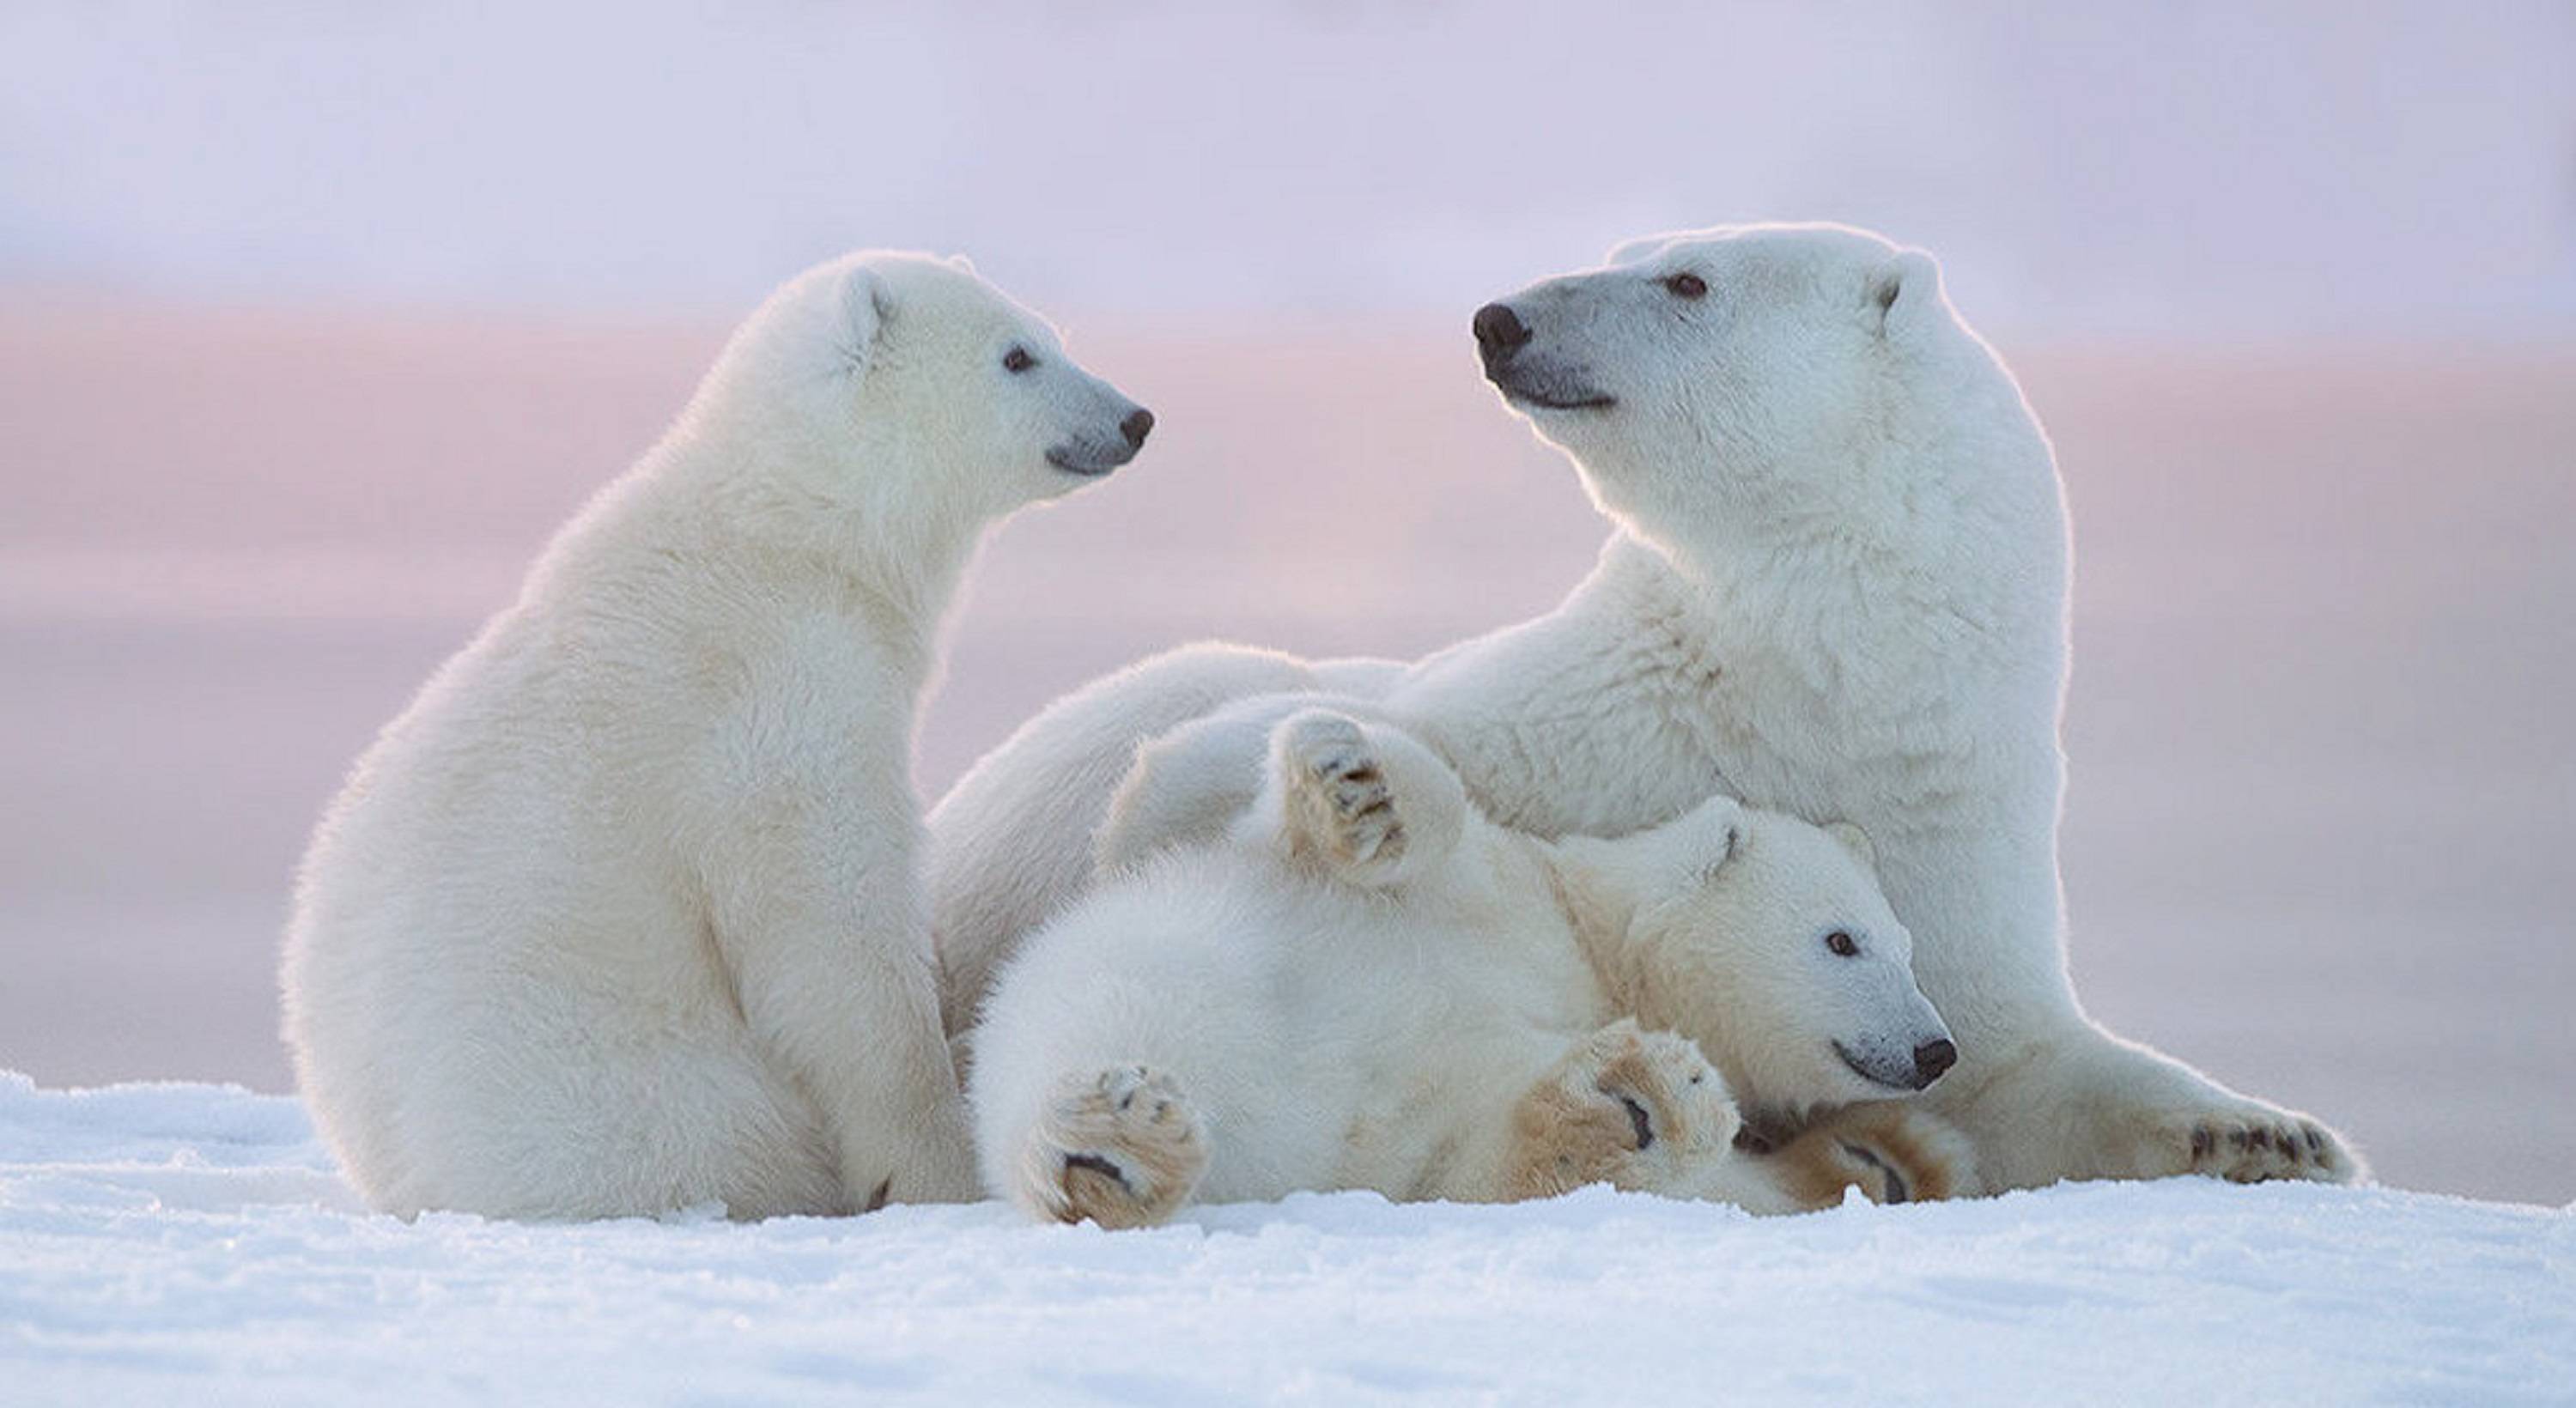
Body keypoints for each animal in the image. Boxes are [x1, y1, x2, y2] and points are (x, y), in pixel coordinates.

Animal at [282, 253, 1159, 1225]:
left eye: (1048, 335)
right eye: (1017, 355)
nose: (1135, 418)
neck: (787, 531)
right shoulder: (777, 694)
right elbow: (830, 919)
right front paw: (938, 1164)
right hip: (630, 1092)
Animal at [969, 710, 1968, 1230]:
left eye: (1911, 948)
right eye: (1843, 940)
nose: (1937, 1049)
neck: (1597, 951)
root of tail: (1270, 1152)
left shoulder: (1444, 1123)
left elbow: (1476, 1161)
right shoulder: (1485, 880)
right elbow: (1414, 824)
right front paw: (1357, 786)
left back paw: (1643, 1100)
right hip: (1155, 972)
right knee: (1085, 1029)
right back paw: (1104, 1136)